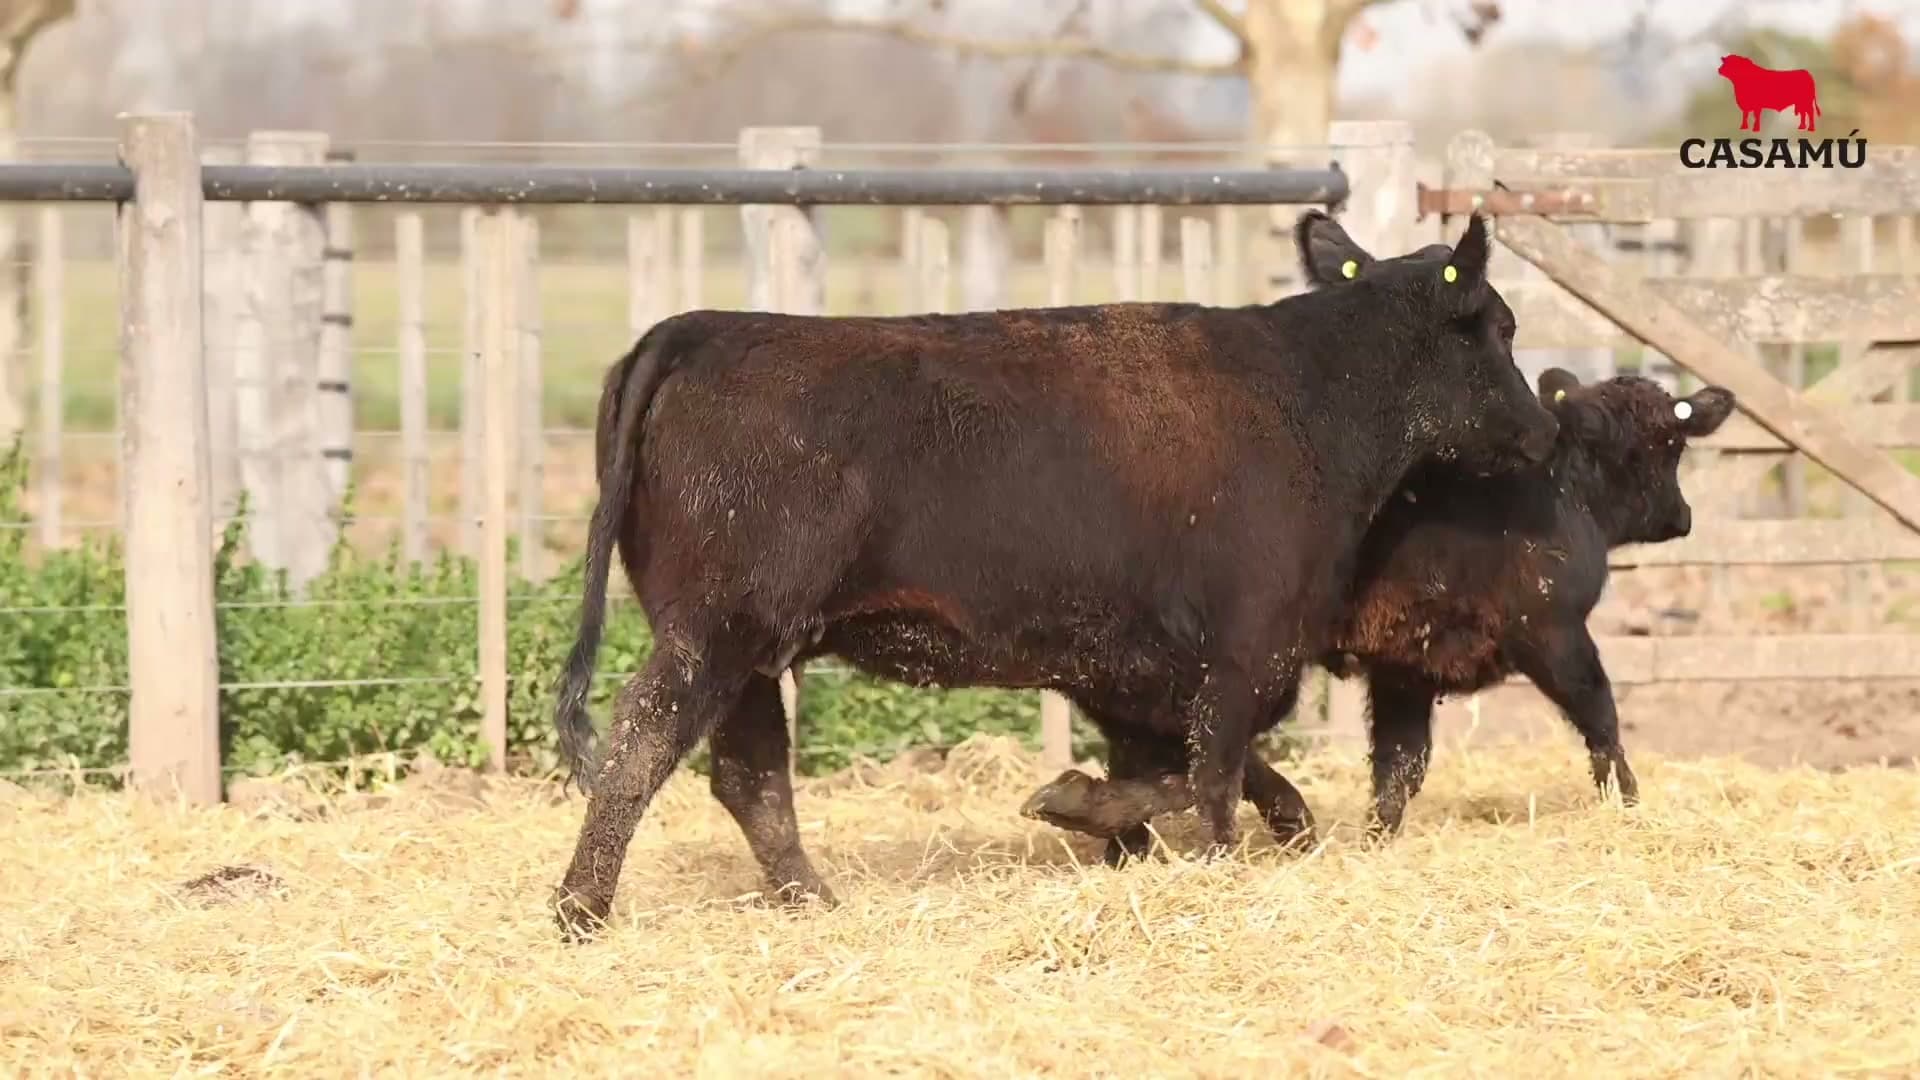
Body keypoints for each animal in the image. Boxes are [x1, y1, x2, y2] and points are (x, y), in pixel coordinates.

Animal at [544, 210, 1559, 940]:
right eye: (1502, 328)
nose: (1543, 428)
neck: (1311, 400)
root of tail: (704, 329)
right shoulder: (1245, 656)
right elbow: (1209, 780)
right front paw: (1090, 808)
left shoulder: (1135, 673)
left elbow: (1213, 776)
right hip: (717, 631)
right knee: (644, 744)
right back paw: (580, 911)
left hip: (744, 649)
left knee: (748, 775)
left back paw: (811, 901)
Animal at [1020, 224, 1736, 856]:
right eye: (1669, 446)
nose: (1683, 516)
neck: (1561, 491)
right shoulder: (1553, 630)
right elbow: (1601, 720)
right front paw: (1631, 807)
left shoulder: (1405, 666)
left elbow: (1399, 770)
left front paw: (1375, 842)